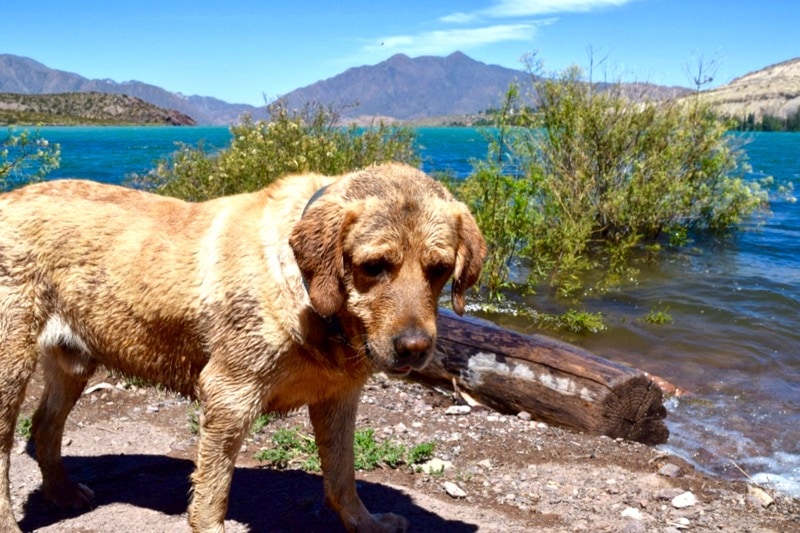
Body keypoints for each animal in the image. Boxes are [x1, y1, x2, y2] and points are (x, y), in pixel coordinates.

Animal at [0, 163, 484, 532]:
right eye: (374, 266)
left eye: (439, 269)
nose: (414, 348)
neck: (313, 298)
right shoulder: (228, 395)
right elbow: (213, 491)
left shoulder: (339, 399)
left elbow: (343, 475)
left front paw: (364, 523)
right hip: (10, 366)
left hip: (73, 362)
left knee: (44, 425)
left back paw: (62, 492)